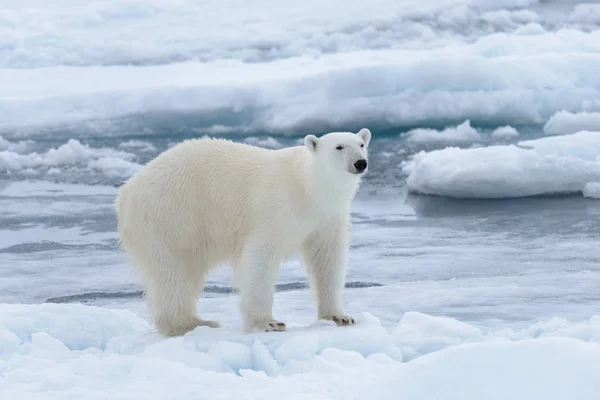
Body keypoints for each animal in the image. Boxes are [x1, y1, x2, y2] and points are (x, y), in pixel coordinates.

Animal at [113, 127, 370, 334]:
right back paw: (190, 324)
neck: (308, 186)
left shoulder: (327, 216)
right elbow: (261, 256)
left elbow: (328, 259)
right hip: (171, 215)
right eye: (339, 146)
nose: (360, 163)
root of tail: (126, 192)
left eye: (361, 144)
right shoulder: (277, 207)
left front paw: (339, 316)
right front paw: (268, 323)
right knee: (173, 271)